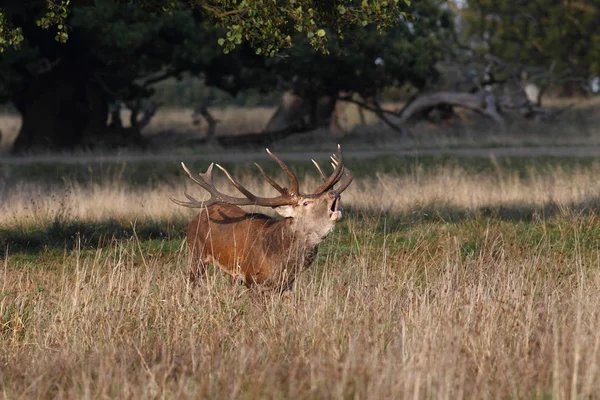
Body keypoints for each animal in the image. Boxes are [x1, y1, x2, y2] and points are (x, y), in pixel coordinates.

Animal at [171, 146, 352, 290]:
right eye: (306, 203)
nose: (333, 193)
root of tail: (198, 215)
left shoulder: (288, 284)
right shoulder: (252, 280)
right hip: (195, 253)